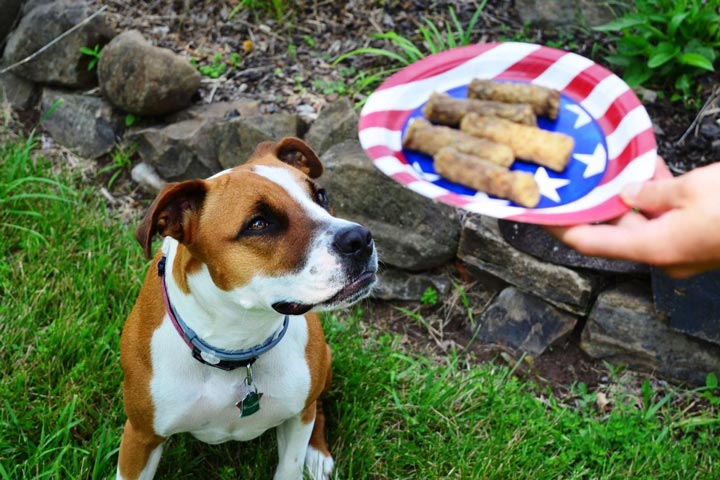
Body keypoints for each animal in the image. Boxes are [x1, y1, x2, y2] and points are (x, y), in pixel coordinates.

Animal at [115, 137, 380, 478]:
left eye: (320, 195)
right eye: (259, 224)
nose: (360, 238)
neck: (237, 342)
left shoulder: (297, 419)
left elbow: (291, 464)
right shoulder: (141, 436)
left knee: (318, 407)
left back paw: (317, 454)